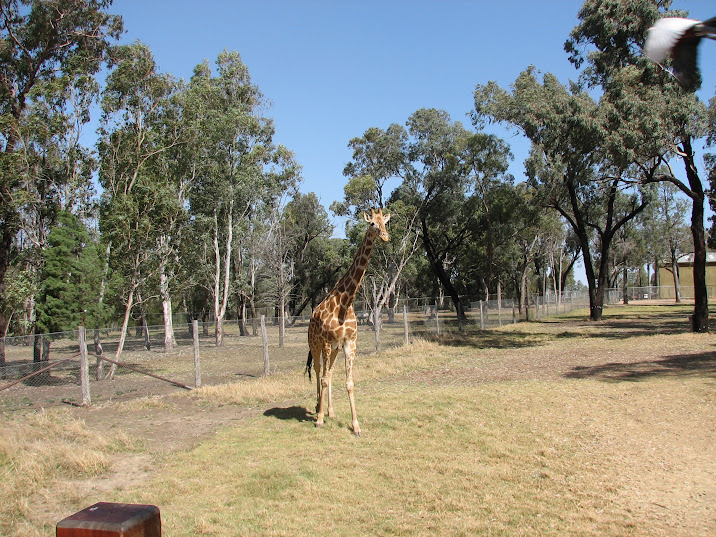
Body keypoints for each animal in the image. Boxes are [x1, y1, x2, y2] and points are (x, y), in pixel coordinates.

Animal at [306, 208, 390, 436]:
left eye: (385, 222)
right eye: (372, 224)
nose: (385, 236)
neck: (345, 302)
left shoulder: (349, 343)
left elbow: (349, 383)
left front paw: (356, 426)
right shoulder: (327, 342)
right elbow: (324, 378)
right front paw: (319, 419)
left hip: (334, 348)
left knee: (330, 373)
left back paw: (330, 411)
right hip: (315, 345)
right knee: (319, 371)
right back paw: (318, 407)